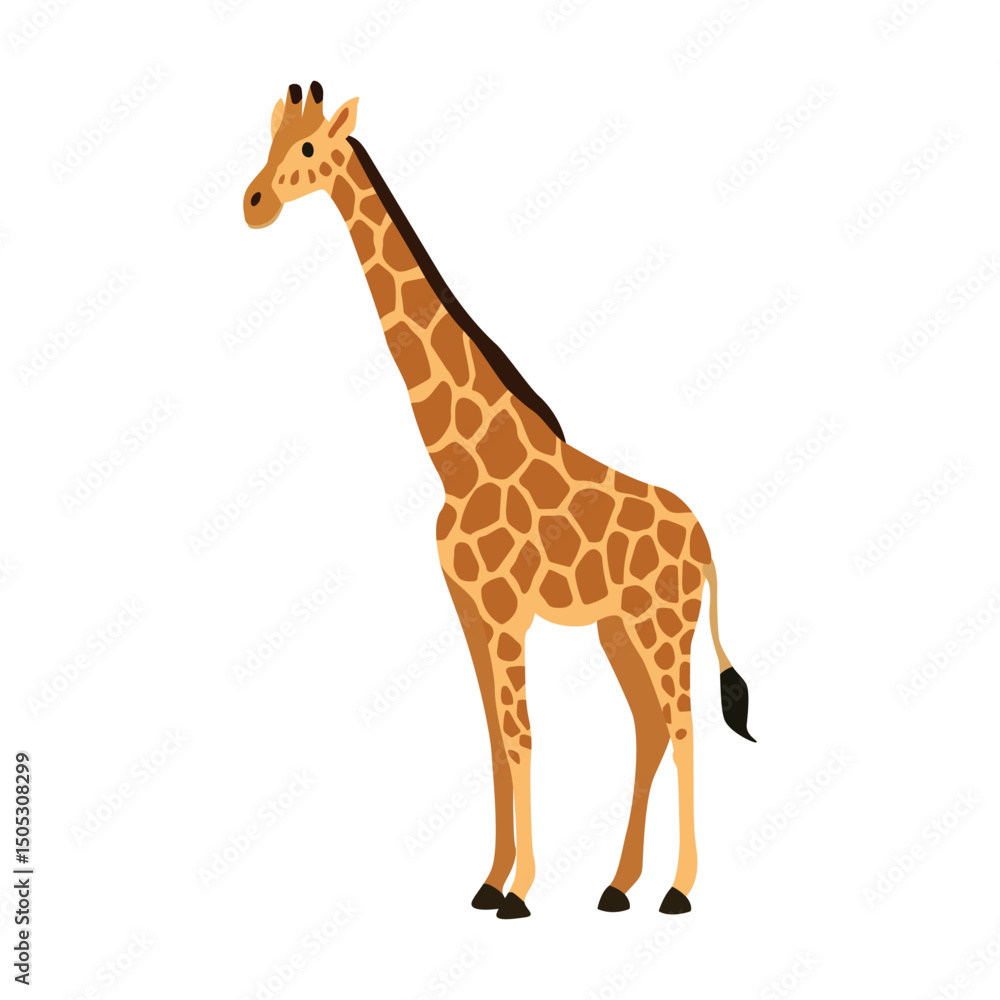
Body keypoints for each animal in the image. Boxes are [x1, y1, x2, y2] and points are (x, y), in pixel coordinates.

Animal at [243, 83, 756, 919]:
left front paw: (518, 892)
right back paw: (617, 886)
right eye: (269, 138)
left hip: (664, 625)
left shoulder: (509, 611)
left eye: (310, 149)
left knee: (681, 726)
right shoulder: (471, 610)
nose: (253, 203)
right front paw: (489, 882)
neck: (460, 459)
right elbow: (491, 741)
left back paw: (677, 891)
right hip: (619, 628)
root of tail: (706, 541)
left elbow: (521, 737)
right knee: (648, 727)